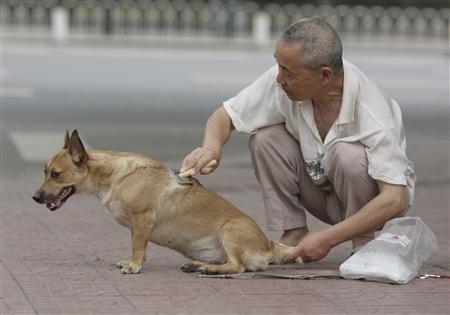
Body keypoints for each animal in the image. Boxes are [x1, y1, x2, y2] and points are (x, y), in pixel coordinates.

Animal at [33, 130, 300, 274]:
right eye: (45, 171)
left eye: (55, 174)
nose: (35, 198)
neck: (115, 175)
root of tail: (269, 245)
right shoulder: (136, 228)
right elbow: (137, 246)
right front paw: (134, 262)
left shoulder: (141, 221)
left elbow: (137, 247)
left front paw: (134, 266)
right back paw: (196, 265)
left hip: (231, 232)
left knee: (238, 266)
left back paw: (208, 269)